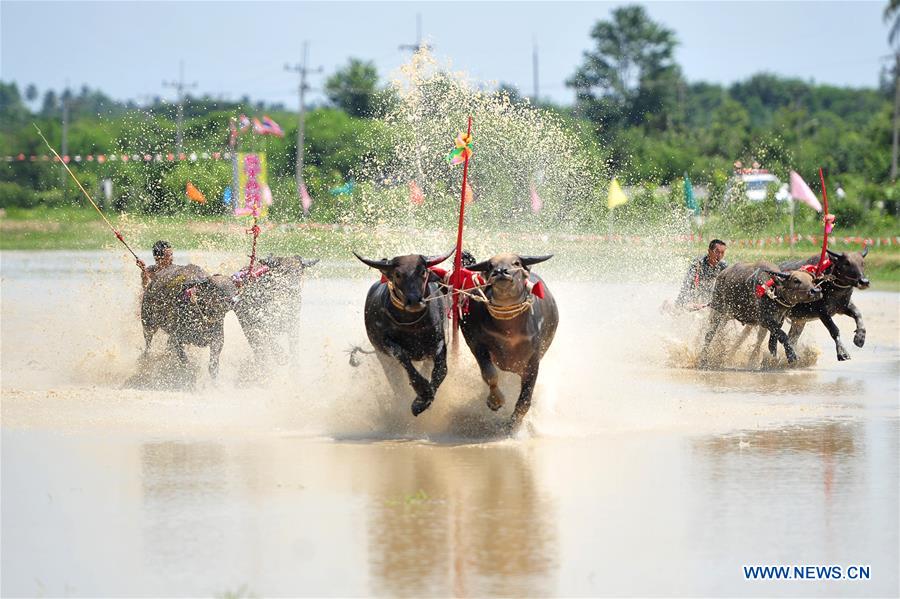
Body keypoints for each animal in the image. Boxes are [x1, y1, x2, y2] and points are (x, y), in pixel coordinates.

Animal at [355, 250, 454, 416]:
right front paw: (422, 396)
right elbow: (404, 358)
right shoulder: (386, 345)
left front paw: (424, 398)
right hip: (383, 358)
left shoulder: (438, 340)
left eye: (423, 271)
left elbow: (441, 370)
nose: (414, 301)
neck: (413, 326)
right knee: (396, 381)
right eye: (398, 274)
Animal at [461, 253, 558, 430]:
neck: (508, 331)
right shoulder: (476, 344)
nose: (501, 272)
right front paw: (495, 401)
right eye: (490, 265)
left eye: (516, 263)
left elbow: (525, 400)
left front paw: (513, 426)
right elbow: (490, 374)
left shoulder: (533, 359)